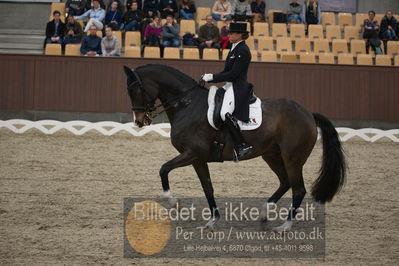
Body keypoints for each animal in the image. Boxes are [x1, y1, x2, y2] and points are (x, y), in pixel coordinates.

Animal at [123, 64, 346, 231]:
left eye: (135, 89)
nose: (139, 121)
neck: (187, 104)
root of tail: (308, 114)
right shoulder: (197, 159)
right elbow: (207, 187)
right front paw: (211, 221)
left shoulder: (192, 153)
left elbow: (164, 169)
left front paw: (173, 202)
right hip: (271, 155)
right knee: (285, 182)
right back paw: (264, 214)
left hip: (293, 158)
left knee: (298, 189)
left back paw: (284, 226)